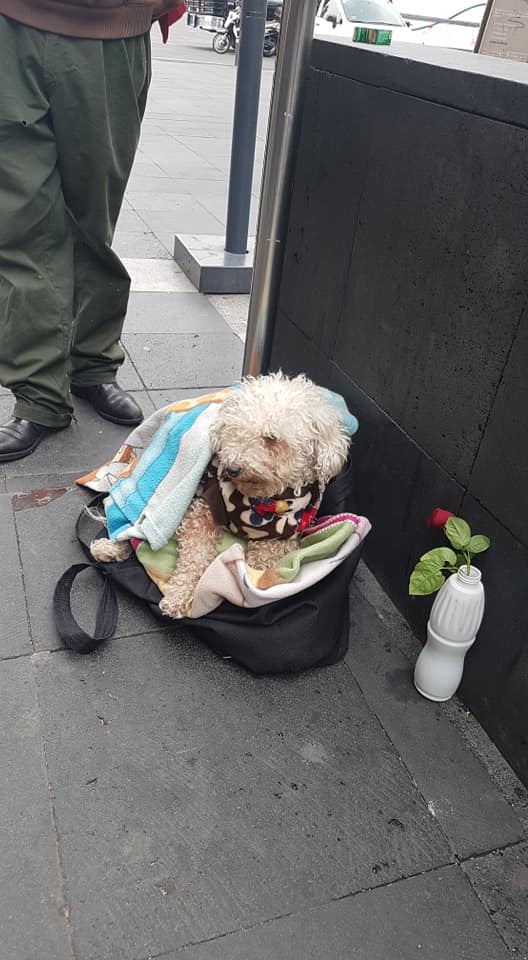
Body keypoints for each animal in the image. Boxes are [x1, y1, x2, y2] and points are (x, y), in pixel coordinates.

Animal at [91, 372, 350, 620]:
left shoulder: (283, 537)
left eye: (271, 438)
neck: (261, 503)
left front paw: (251, 583)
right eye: (233, 431)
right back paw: (108, 548)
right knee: (130, 529)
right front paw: (179, 595)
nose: (231, 469)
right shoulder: (202, 509)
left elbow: (261, 561)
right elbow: (194, 557)